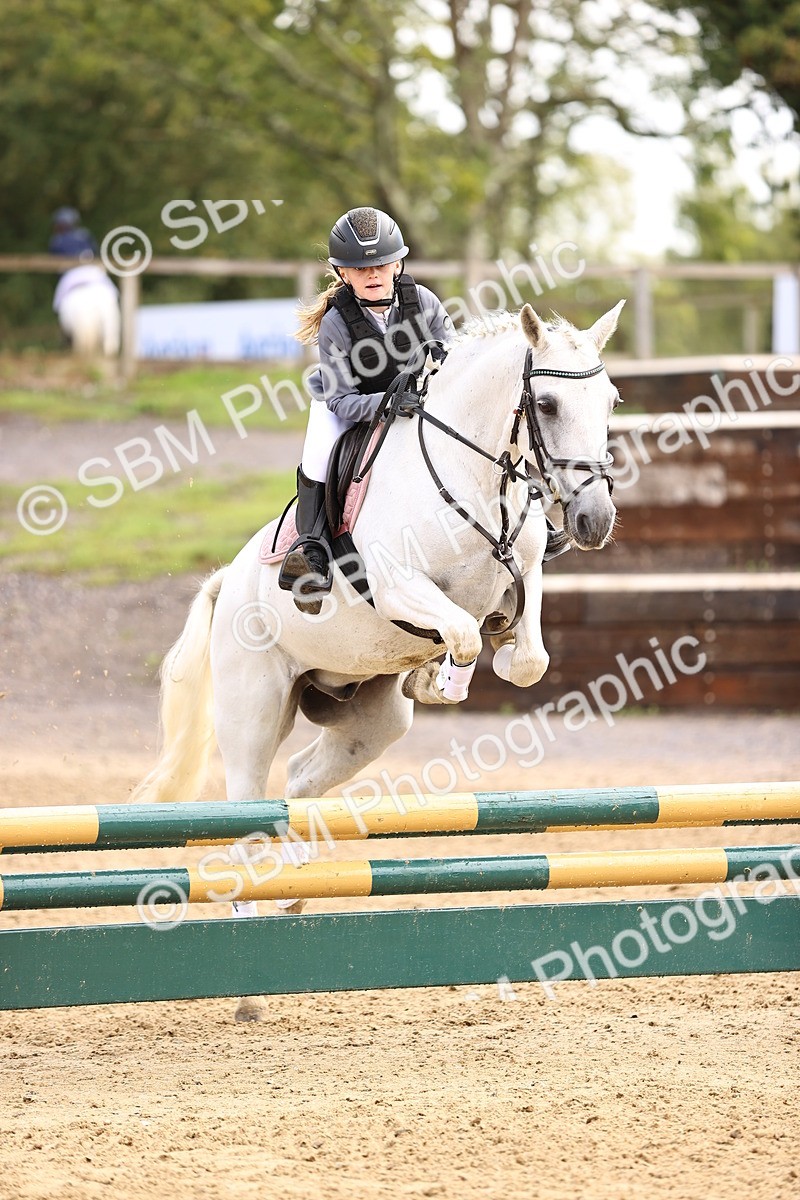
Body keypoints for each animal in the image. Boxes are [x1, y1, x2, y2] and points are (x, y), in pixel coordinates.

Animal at [133, 300, 623, 1020]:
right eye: (549, 403)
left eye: (611, 400)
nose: (595, 519)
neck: (476, 479)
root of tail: (227, 581)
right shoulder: (399, 587)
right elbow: (463, 634)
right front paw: (442, 678)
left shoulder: (526, 568)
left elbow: (527, 655)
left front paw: (464, 664)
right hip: (253, 711)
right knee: (246, 810)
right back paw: (249, 964)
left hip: (368, 717)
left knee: (300, 783)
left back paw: (295, 887)